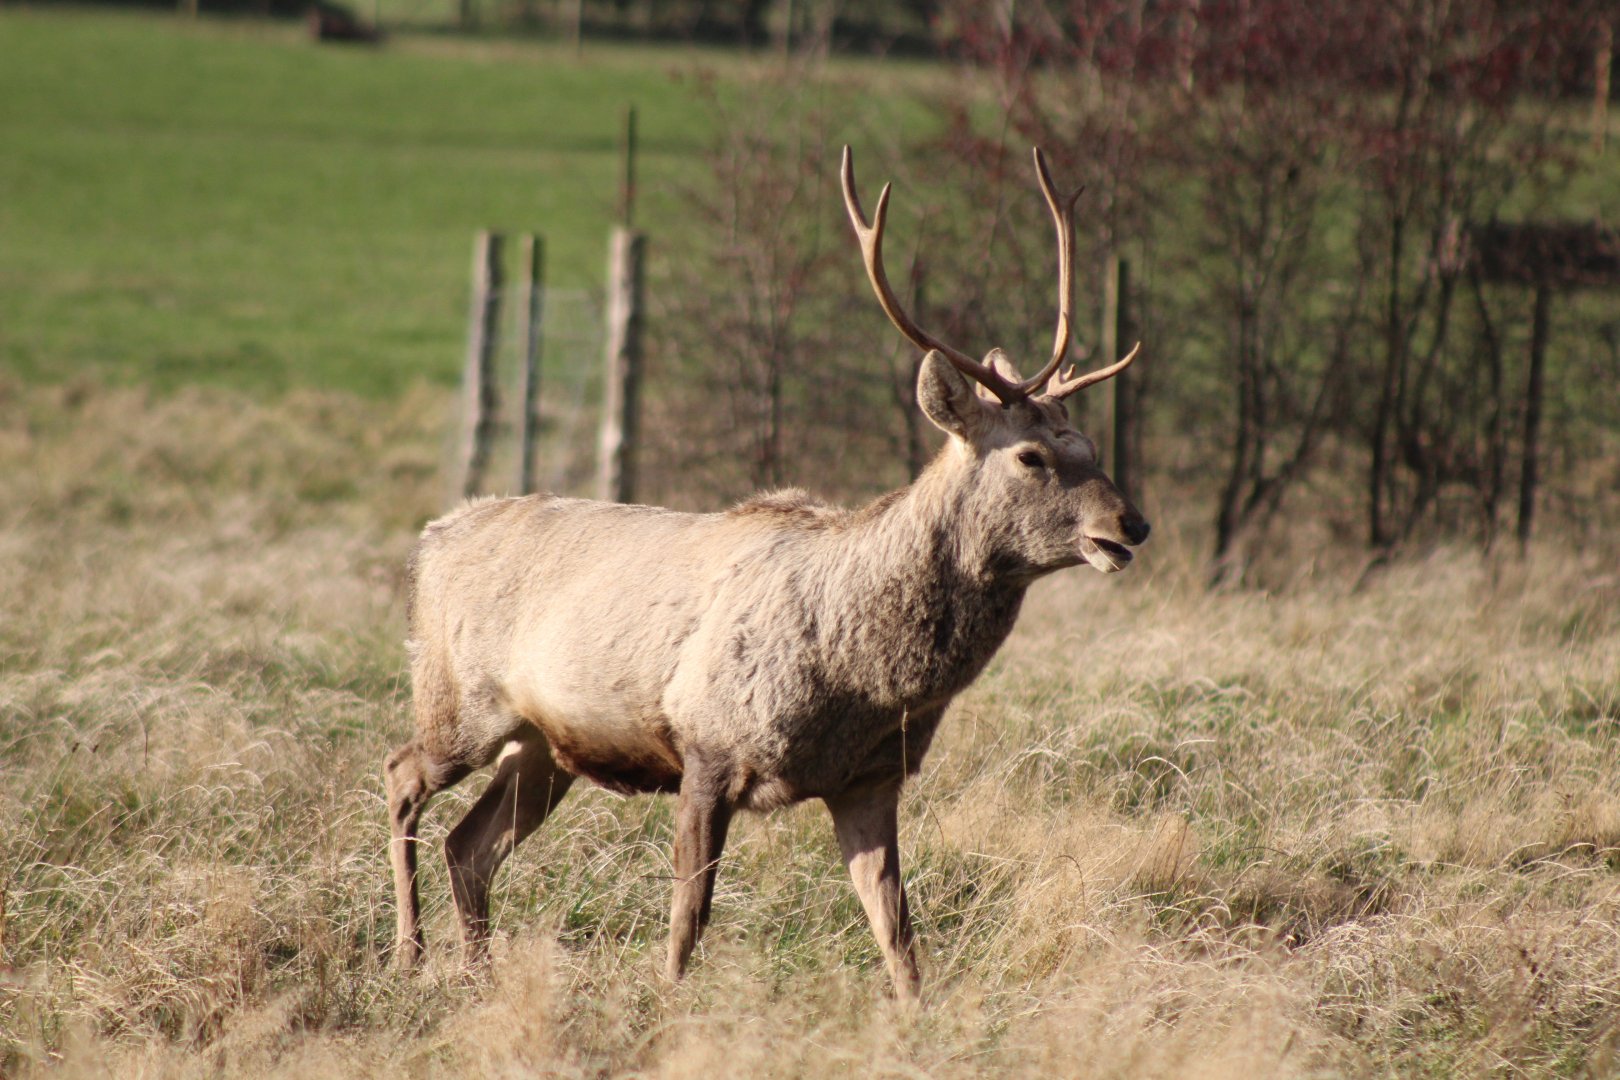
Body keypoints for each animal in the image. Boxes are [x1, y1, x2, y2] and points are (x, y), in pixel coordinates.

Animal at [383, 146, 1149, 1000]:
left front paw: (919, 1015)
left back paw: (476, 973)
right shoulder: (707, 743)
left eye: (1092, 446)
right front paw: (668, 1003)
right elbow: (689, 915)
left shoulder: (869, 777)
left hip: (544, 746)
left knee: (469, 845)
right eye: (1033, 456)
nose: (1131, 525)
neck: (860, 678)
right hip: (458, 701)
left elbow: (897, 930)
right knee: (400, 776)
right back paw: (409, 953)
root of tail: (431, 540)